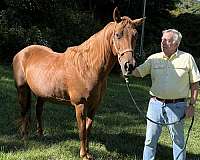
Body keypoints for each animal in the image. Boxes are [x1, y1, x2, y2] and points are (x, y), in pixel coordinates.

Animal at [12, 7, 144, 159]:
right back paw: (24, 136)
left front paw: (89, 152)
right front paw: (83, 155)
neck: (88, 67)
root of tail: (21, 52)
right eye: (118, 35)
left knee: (38, 110)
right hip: (22, 89)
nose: (129, 66)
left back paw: (41, 135)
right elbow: (82, 130)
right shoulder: (80, 105)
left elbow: (88, 128)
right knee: (24, 111)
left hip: (42, 94)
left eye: (135, 35)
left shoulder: (94, 106)